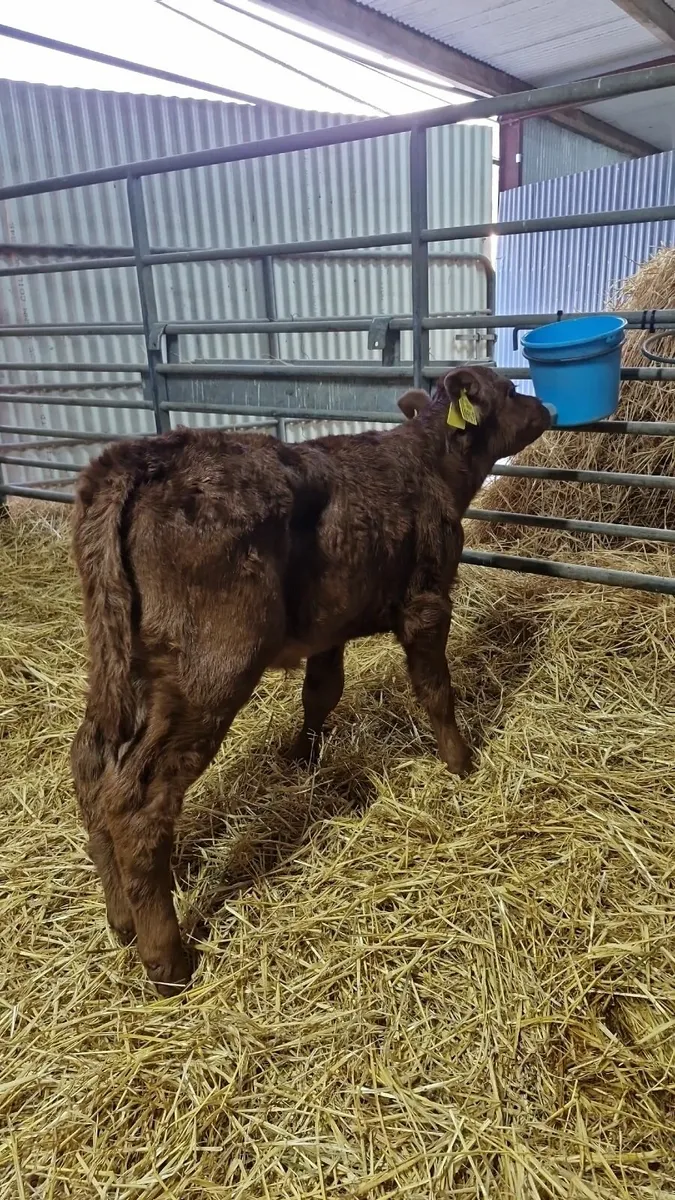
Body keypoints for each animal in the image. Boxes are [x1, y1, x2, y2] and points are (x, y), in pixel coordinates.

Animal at [71, 366, 550, 993]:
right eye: (512, 389)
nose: (548, 408)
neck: (429, 462)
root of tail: (139, 455)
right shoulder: (426, 601)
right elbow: (436, 691)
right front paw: (462, 761)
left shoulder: (331, 625)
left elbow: (322, 693)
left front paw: (301, 758)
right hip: (211, 667)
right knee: (138, 799)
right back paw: (168, 961)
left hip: (118, 661)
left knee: (91, 763)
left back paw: (120, 919)